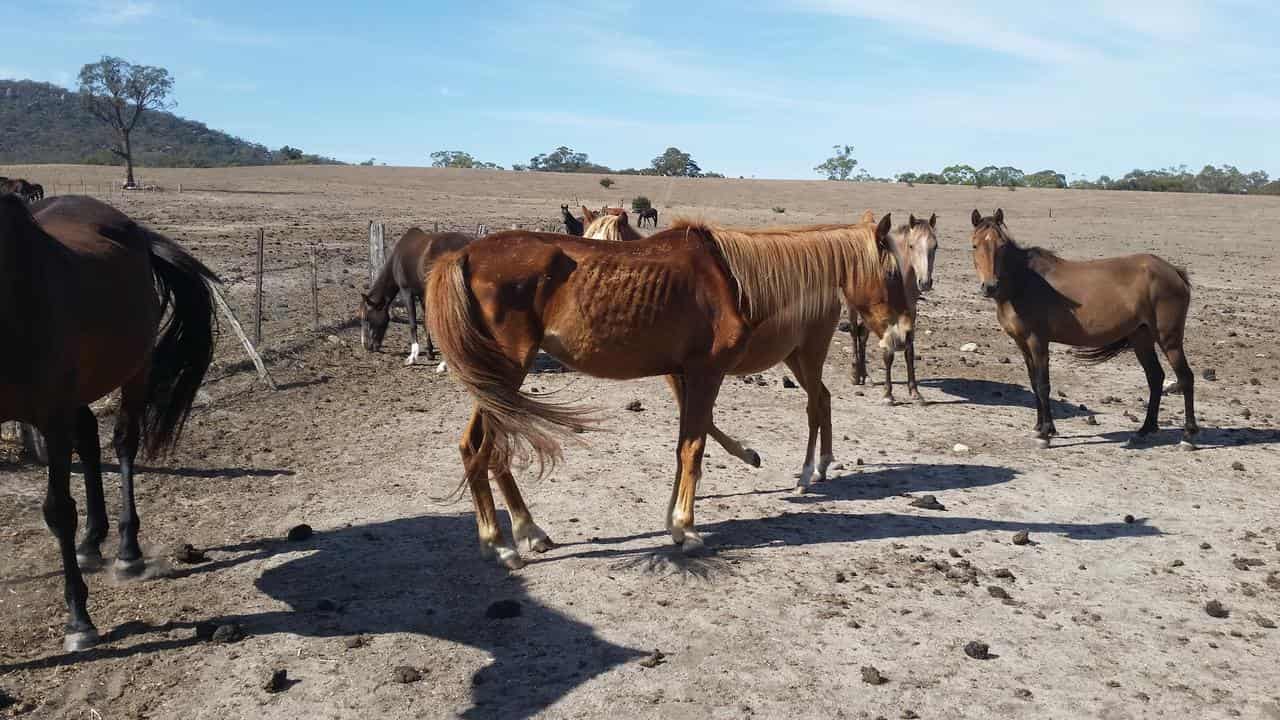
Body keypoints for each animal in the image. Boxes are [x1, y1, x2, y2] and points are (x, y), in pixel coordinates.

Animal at [0, 193, 217, 648]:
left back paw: (126, 551)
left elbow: (59, 511)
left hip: (134, 371)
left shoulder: (51, 416)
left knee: (123, 441)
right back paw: (91, 541)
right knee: (88, 438)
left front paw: (79, 620)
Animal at [360, 226, 476, 363]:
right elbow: (426, 322)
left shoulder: (407, 292)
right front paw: (430, 353)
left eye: (367, 318)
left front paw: (413, 356)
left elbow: (413, 323)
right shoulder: (422, 295)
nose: (368, 346)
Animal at [424, 212, 906, 566]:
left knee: (482, 448)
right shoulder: (706, 373)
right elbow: (693, 448)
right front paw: (687, 528)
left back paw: (524, 533)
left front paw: (675, 520)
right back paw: (503, 543)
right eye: (894, 274)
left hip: (497, 380)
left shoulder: (685, 374)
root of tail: (462, 256)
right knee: (484, 448)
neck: (731, 278)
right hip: (504, 374)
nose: (901, 338)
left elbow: (684, 445)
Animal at [967, 204, 1198, 445]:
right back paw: (1145, 429)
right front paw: (1039, 426)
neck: (1023, 282)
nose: (990, 286)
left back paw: (1189, 434)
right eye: (975, 245)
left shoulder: (1038, 341)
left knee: (1186, 377)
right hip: (1141, 337)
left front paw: (1046, 432)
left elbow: (1043, 384)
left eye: (1001, 246)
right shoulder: (1022, 343)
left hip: (1169, 339)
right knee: (1155, 378)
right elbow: (1033, 383)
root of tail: (1174, 272)